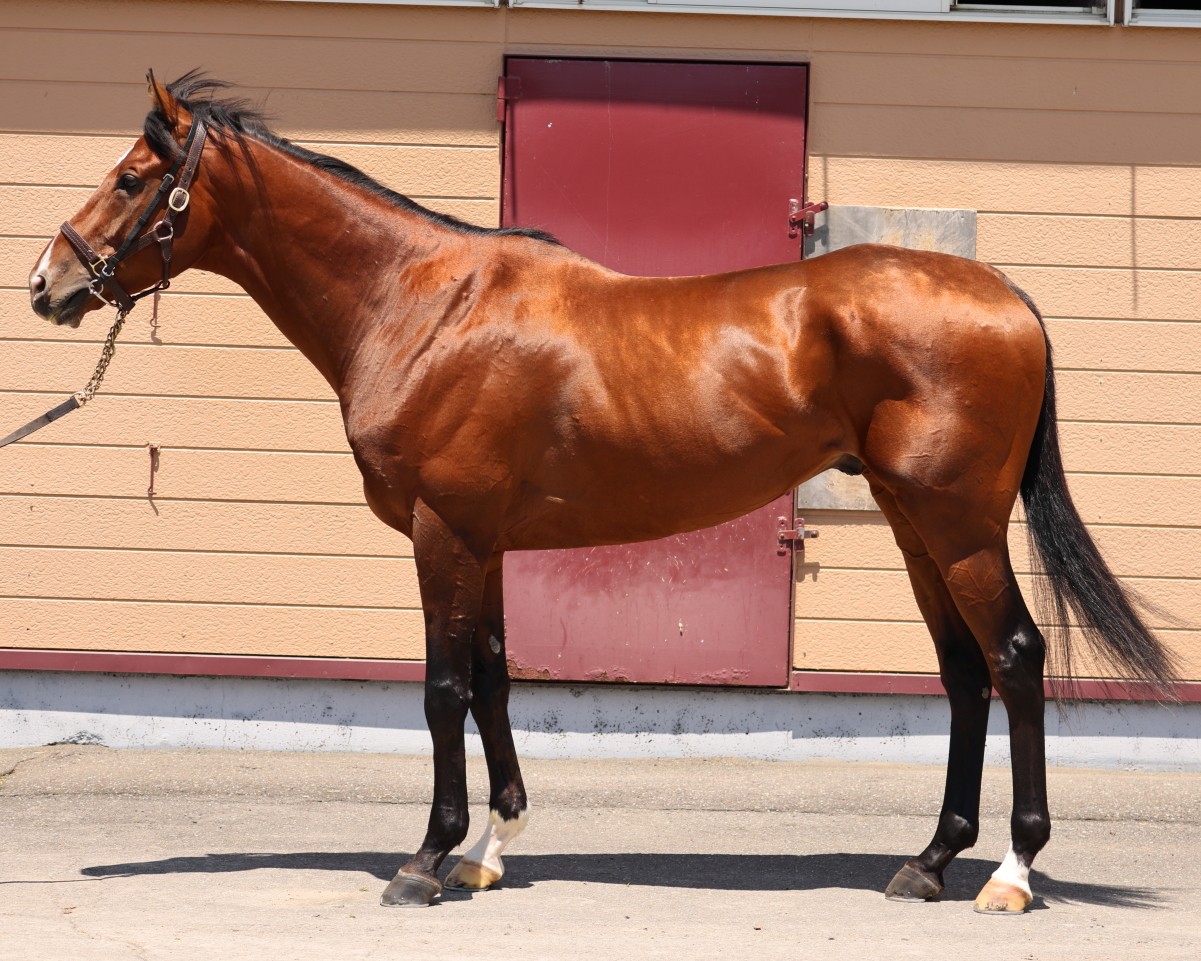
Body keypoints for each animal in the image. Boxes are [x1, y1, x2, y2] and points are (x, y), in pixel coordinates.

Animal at [26, 71, 1176, 914]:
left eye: (131, 177)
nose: (48, 283)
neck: (422, 304)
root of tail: (1006, 295)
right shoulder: (481, 539)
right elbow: (491, 678)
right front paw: (489, 849)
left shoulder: (442, 532)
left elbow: (442, 688)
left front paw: (424, 859)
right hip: (912, 525)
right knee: (964, 674)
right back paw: (928, 862)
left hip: (958, 522)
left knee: (1014, 660)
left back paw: (1011, 875)